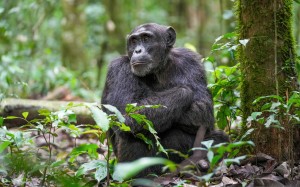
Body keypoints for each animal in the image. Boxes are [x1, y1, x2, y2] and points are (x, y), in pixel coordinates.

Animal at [100, 22, 227, 176]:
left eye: (146, 38)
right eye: (134, 41)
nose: (137, 50)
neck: (158, 70)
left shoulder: (191, 61)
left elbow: (203, 109)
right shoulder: (118, 68)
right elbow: (125, 114)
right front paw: (184, 91)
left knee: (221, 138)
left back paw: (200, 163)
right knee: (133, 135)